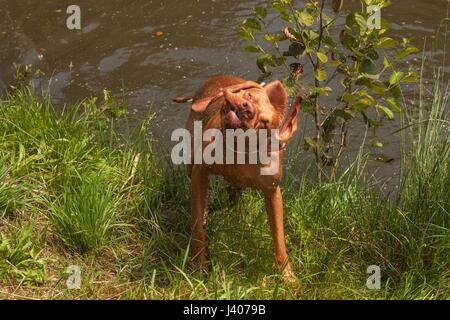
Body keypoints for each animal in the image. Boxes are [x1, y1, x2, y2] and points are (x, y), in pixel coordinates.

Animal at [173, 75, 302, 278]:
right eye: (249, 96)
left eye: (264, 124)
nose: (246, 109)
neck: (239, 150)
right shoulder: (199, 172)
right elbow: (197, 226)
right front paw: (199, 264)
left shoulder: (272, 193)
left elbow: (279, 237)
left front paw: (287, 275)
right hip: (190, 163)